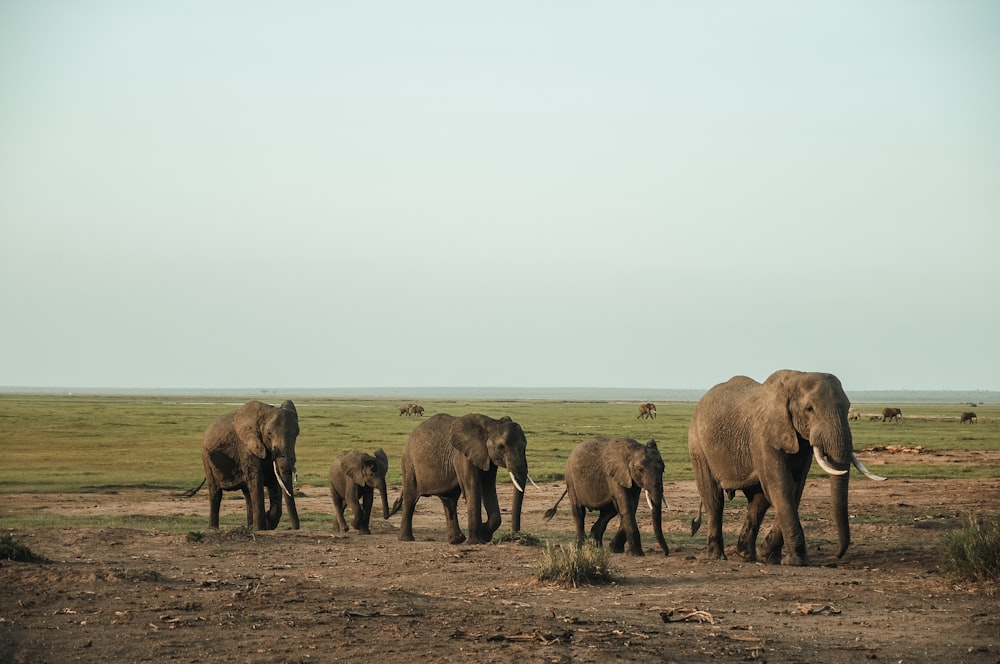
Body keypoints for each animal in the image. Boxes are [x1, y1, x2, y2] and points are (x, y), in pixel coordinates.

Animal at [185, 400, 300, 528]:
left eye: (297, 434)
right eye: (269, 433)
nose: (293, 528)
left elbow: (274, 481)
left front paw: (266, 522)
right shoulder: (245, 446)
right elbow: (256, 479)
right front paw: (260, 528)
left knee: (247, 494)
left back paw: (250, 526)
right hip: (206, 459)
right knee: (216, 493)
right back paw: (213, 529)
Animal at [390, 416, 532, 544]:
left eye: (525, 446)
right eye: (502, 446)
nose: (516, 536)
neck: (491, 424)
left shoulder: (487, 458)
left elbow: (489, 488)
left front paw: (484, 534)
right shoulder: (462, 455)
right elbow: (473, 487)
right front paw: (476, 541)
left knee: (449, 500)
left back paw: (456, 540)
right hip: (409, 463)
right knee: (411, 498)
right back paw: (406, 539)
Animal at [688, 368, 884, 564]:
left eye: (847, 407)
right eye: (809, 409)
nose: (837, 555)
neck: (795, 380)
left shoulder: (801, 444)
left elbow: (795, 489)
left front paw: (769, 556)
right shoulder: (763, 436)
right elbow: (782, 487)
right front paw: (797, 561)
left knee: (758, 501)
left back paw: (747, 555)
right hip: (697, 444)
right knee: (714, 498)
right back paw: (717, 556)